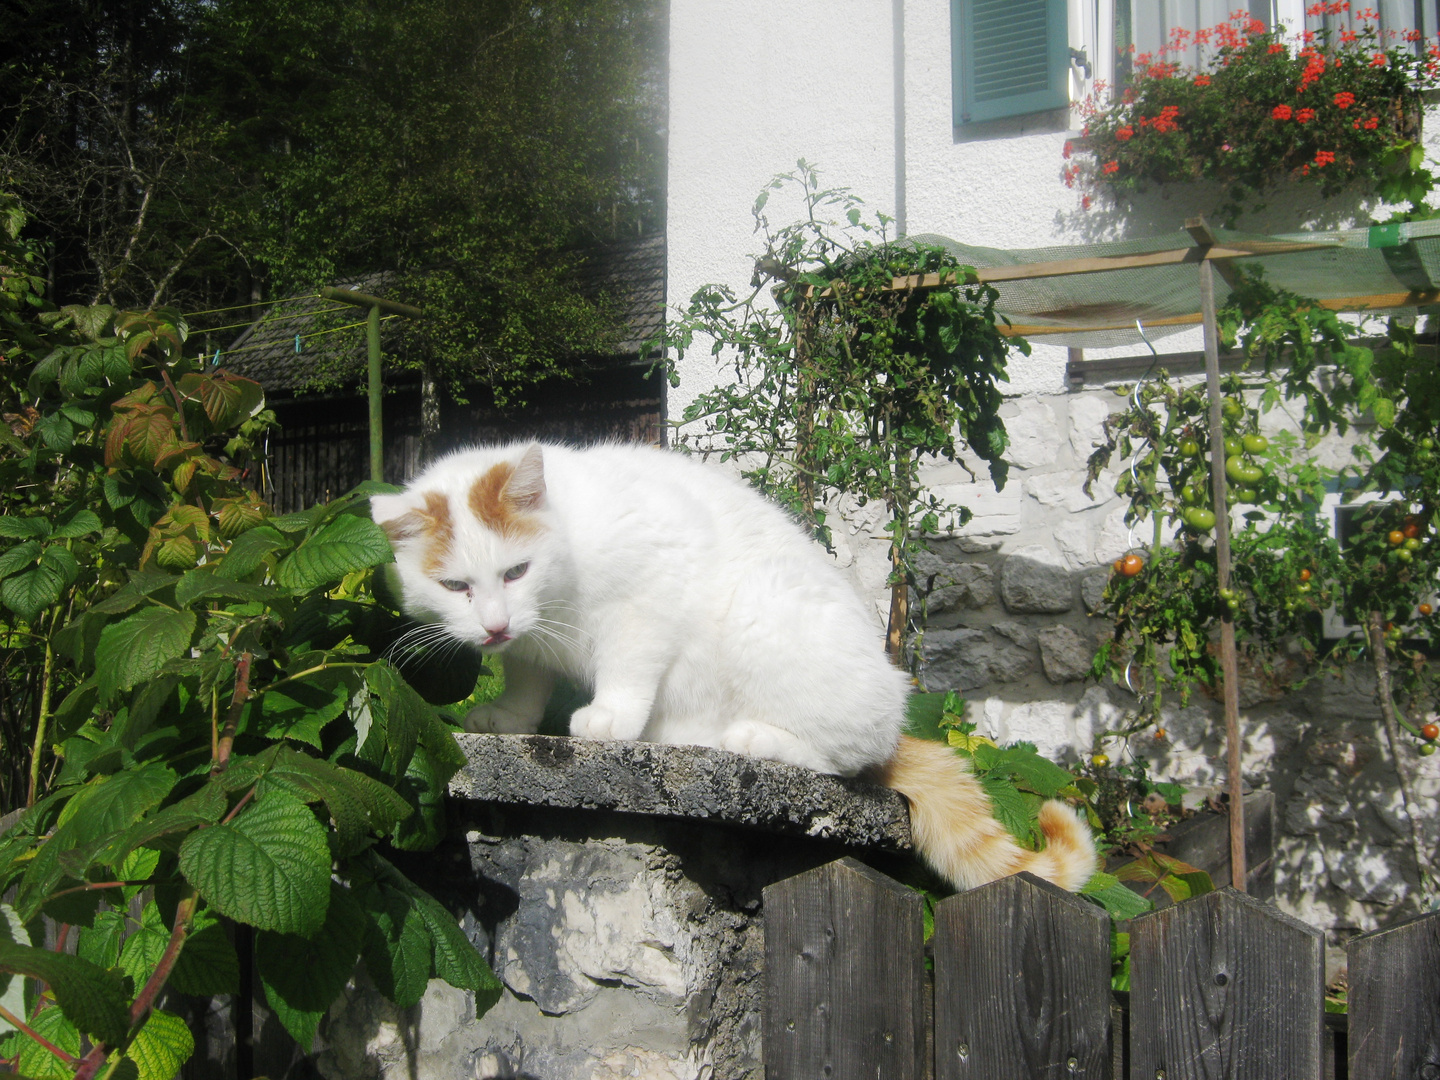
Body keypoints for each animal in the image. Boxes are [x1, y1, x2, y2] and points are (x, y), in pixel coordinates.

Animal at [368, 443, 1088, 892]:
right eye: (456, 586)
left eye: (515, 571)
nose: (494, 625)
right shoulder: (529, 646)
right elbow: (525, 677)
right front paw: (509, 716)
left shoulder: (649, 597)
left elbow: (628, 665)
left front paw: (610, 718)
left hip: (765, 611)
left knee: (849, 758)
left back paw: (749, 737)